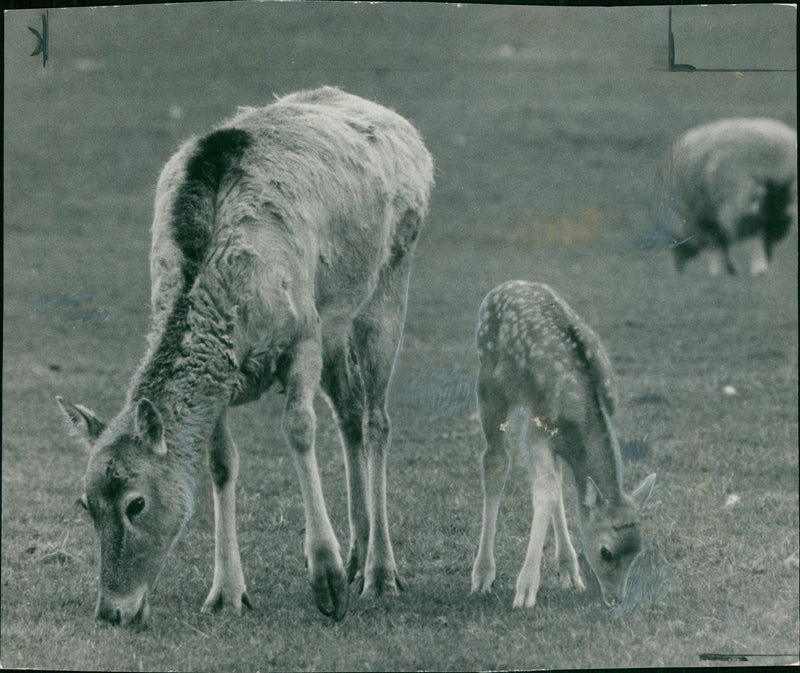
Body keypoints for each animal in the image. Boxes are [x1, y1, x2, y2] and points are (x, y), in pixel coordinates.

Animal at [57, 88, 434, 624]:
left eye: (136, 504)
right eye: (85, 504)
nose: (111, 611)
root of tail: (406, 130)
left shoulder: (304, 334)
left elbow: (299, 428)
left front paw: (327, 580)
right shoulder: (228, 380)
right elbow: (220, 462)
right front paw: (227, 592)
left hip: (390, 278)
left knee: (377, 417)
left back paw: (380, 573)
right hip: (336, 321)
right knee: (350, 413)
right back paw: (358, 555)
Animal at [472, 280, 652, 608]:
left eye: (637, 551)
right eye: (606, 551)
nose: (616, 600)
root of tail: (503, 286)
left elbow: (557, 487)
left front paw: (567, 571)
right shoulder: (537, 431)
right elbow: (545, 490)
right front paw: (526, 589)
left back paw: (568, 569)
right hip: (489, 383)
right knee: (495, 462)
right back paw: (482, 574)